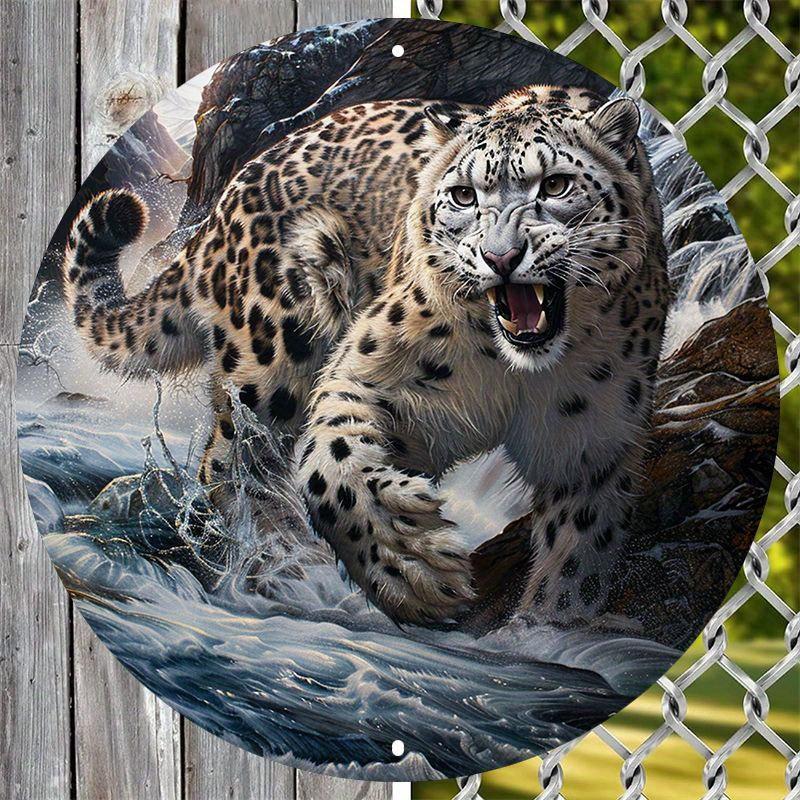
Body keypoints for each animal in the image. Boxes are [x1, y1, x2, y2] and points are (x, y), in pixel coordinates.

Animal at [62, 85, 669, 628]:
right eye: (464, 196)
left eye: (557, 184)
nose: (501, 257)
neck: (515, 374)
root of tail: (225, 201)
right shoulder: (371, 371)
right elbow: (331, 461)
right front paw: (415, 570)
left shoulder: (588, 445)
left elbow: (578, 551)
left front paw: (547, 625)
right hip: (272, 359)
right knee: (231, 463)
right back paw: (284, 566)